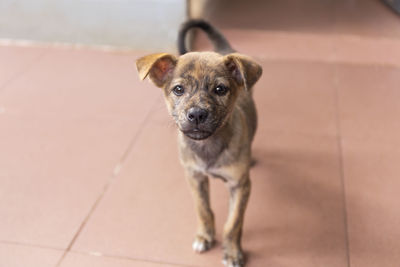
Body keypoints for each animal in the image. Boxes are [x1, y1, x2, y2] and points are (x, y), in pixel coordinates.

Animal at [137, 19, 262, 266]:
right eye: (178, 89)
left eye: (220, 89)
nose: (196, 114)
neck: (208, 145)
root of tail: (224, 49)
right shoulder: (194, 177)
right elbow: (203, 209)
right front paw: (204, 236)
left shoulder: (240, 185)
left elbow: (233, 223)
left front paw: (232, 252)